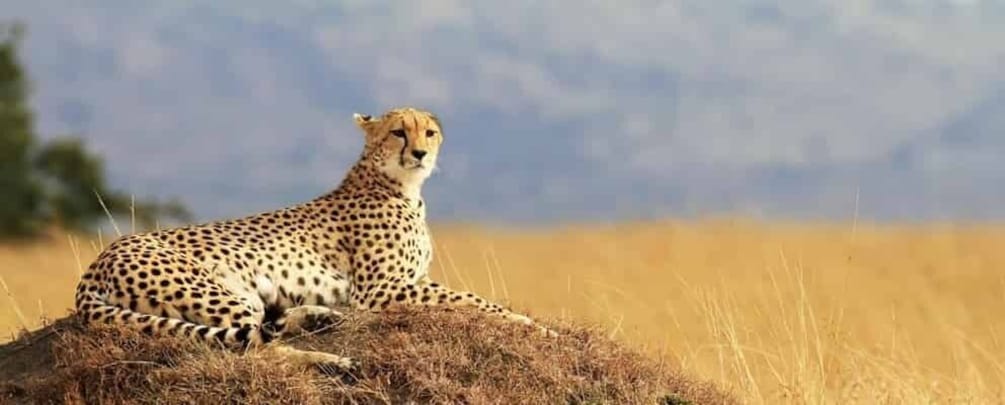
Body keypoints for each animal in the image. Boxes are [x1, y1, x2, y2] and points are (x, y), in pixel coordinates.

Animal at [73, 107, 552, 375]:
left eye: (428, 132)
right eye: (399, 132)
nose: (420, 153)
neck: (399, 185)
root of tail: (98, 261)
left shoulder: (401, 284)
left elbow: (471, 298)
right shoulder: (381, 292)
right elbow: (472, 299)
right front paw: (532, 325)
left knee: (264, 329)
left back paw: (318, 318)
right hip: (218, 293)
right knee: (250, 349)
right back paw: (331, 360)